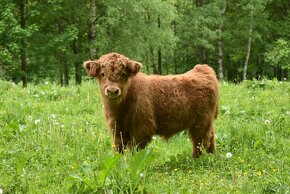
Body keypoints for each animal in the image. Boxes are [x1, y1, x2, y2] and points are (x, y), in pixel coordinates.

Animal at [82, 52, 219, 158]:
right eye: (102, 74)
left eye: (123, 74)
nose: (112, 90)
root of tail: (202, 69)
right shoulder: (117, 129)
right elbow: (119, 148)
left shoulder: (142, 128)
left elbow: (135, 149)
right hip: (206, 122)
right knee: (210, 136)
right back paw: (212, 155)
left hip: (201, 122)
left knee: (200, 141)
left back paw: (196, 158)